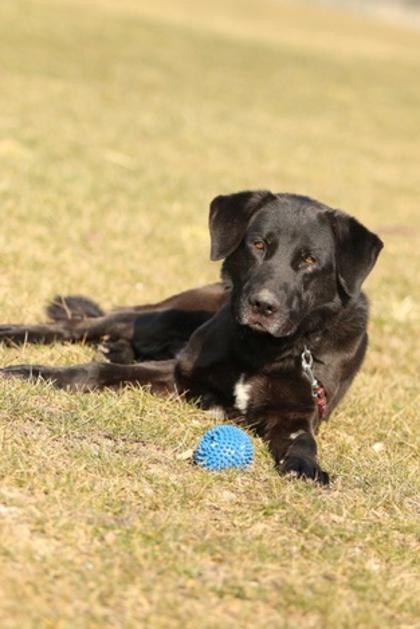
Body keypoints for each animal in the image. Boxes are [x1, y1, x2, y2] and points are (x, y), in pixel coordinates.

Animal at [0, 191, 383, 484]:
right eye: (259, 245)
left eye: (309, 260)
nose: (263, 305)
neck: (263, 348)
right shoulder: (180, 372)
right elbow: (95, 371)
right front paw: (36, 372)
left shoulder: (296, 413)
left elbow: (303, 441)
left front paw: (305, 467)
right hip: (161, 316)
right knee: (82, 324)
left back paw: (115, 348)